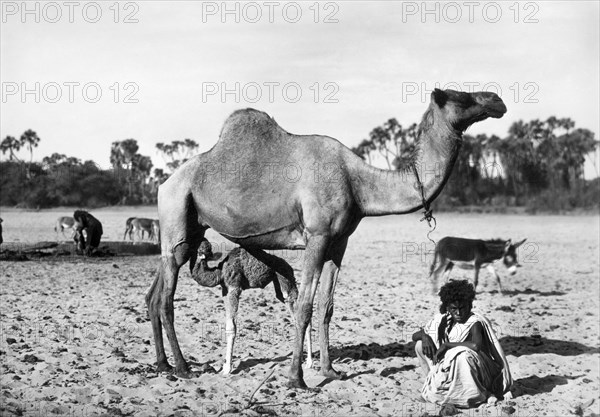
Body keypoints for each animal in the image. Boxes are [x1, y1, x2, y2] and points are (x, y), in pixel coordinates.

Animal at [192, 239, 314, 376]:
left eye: (202, 249)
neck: (220, 272)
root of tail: (289, 266)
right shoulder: (225, 290)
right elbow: (228, 324)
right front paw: (225, 366)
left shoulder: (234, 287)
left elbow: (232, 327)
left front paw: (228, 368)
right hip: (279, 284)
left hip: (285, 278)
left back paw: (309, 362)